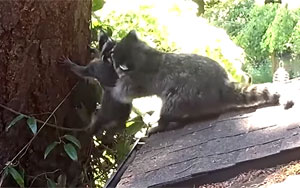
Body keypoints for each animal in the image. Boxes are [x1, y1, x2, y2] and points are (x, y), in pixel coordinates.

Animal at [111, 30, 292, 134]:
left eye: (114, 54)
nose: (110, 53)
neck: (142, 53)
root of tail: (221, 85)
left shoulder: (140, 77)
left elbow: (128, 90)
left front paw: (114, 89)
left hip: (187, 93)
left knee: (171, 102)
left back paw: (162, 124)